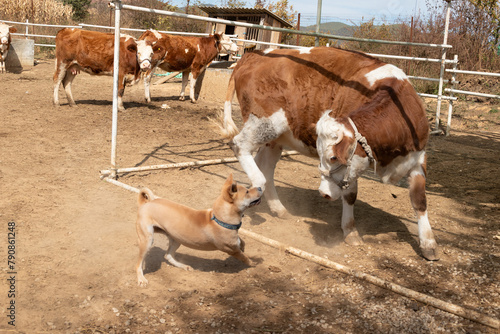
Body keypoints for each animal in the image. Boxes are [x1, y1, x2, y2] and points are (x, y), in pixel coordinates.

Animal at [135, 174, 264, 286]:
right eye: (247, 192)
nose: (259, 187)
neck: (219, 219)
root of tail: (146, 203)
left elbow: (242, 242)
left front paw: (243, 246)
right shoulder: (232, 250)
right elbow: (245, 257)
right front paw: (254, 263)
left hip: (177, 239)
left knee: (168, 256)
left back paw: (183, 266)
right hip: (147, 240)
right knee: (139, 264)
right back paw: (141, 279)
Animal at [220, 47, 438, 260]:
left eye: (333, 157)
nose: (323, 193)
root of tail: (255, 55)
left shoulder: (418, 159)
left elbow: (419, 200)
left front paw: (428, 244)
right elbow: (350, 195)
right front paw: (350, 231)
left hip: (275, 138)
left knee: (264, 165)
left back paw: (277, 207)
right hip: (264, 124)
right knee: (240, 146)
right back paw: (257, 185)